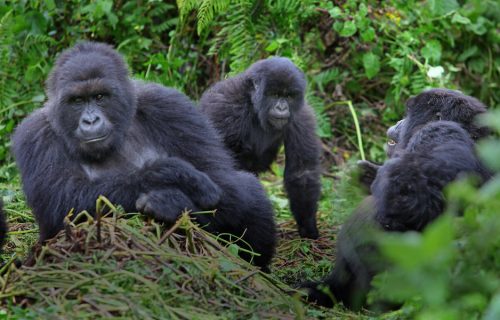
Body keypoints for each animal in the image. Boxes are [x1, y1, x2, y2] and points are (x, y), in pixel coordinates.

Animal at [12, 41, 278, 268]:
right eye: (77, 100)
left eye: (100, 96)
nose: (90, 120)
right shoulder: (35, 135)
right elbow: (61, 204)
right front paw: (170, 176)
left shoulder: (171, 106)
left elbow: (223, 179)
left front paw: (173, 200)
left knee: (248, 191)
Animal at [201, 57, 322, 239]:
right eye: (275, 95)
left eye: (288, 96)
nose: (282, 107)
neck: (252, 102)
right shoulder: (225, 108)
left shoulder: (302, 115)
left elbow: (302, 172)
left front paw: (307, 225)